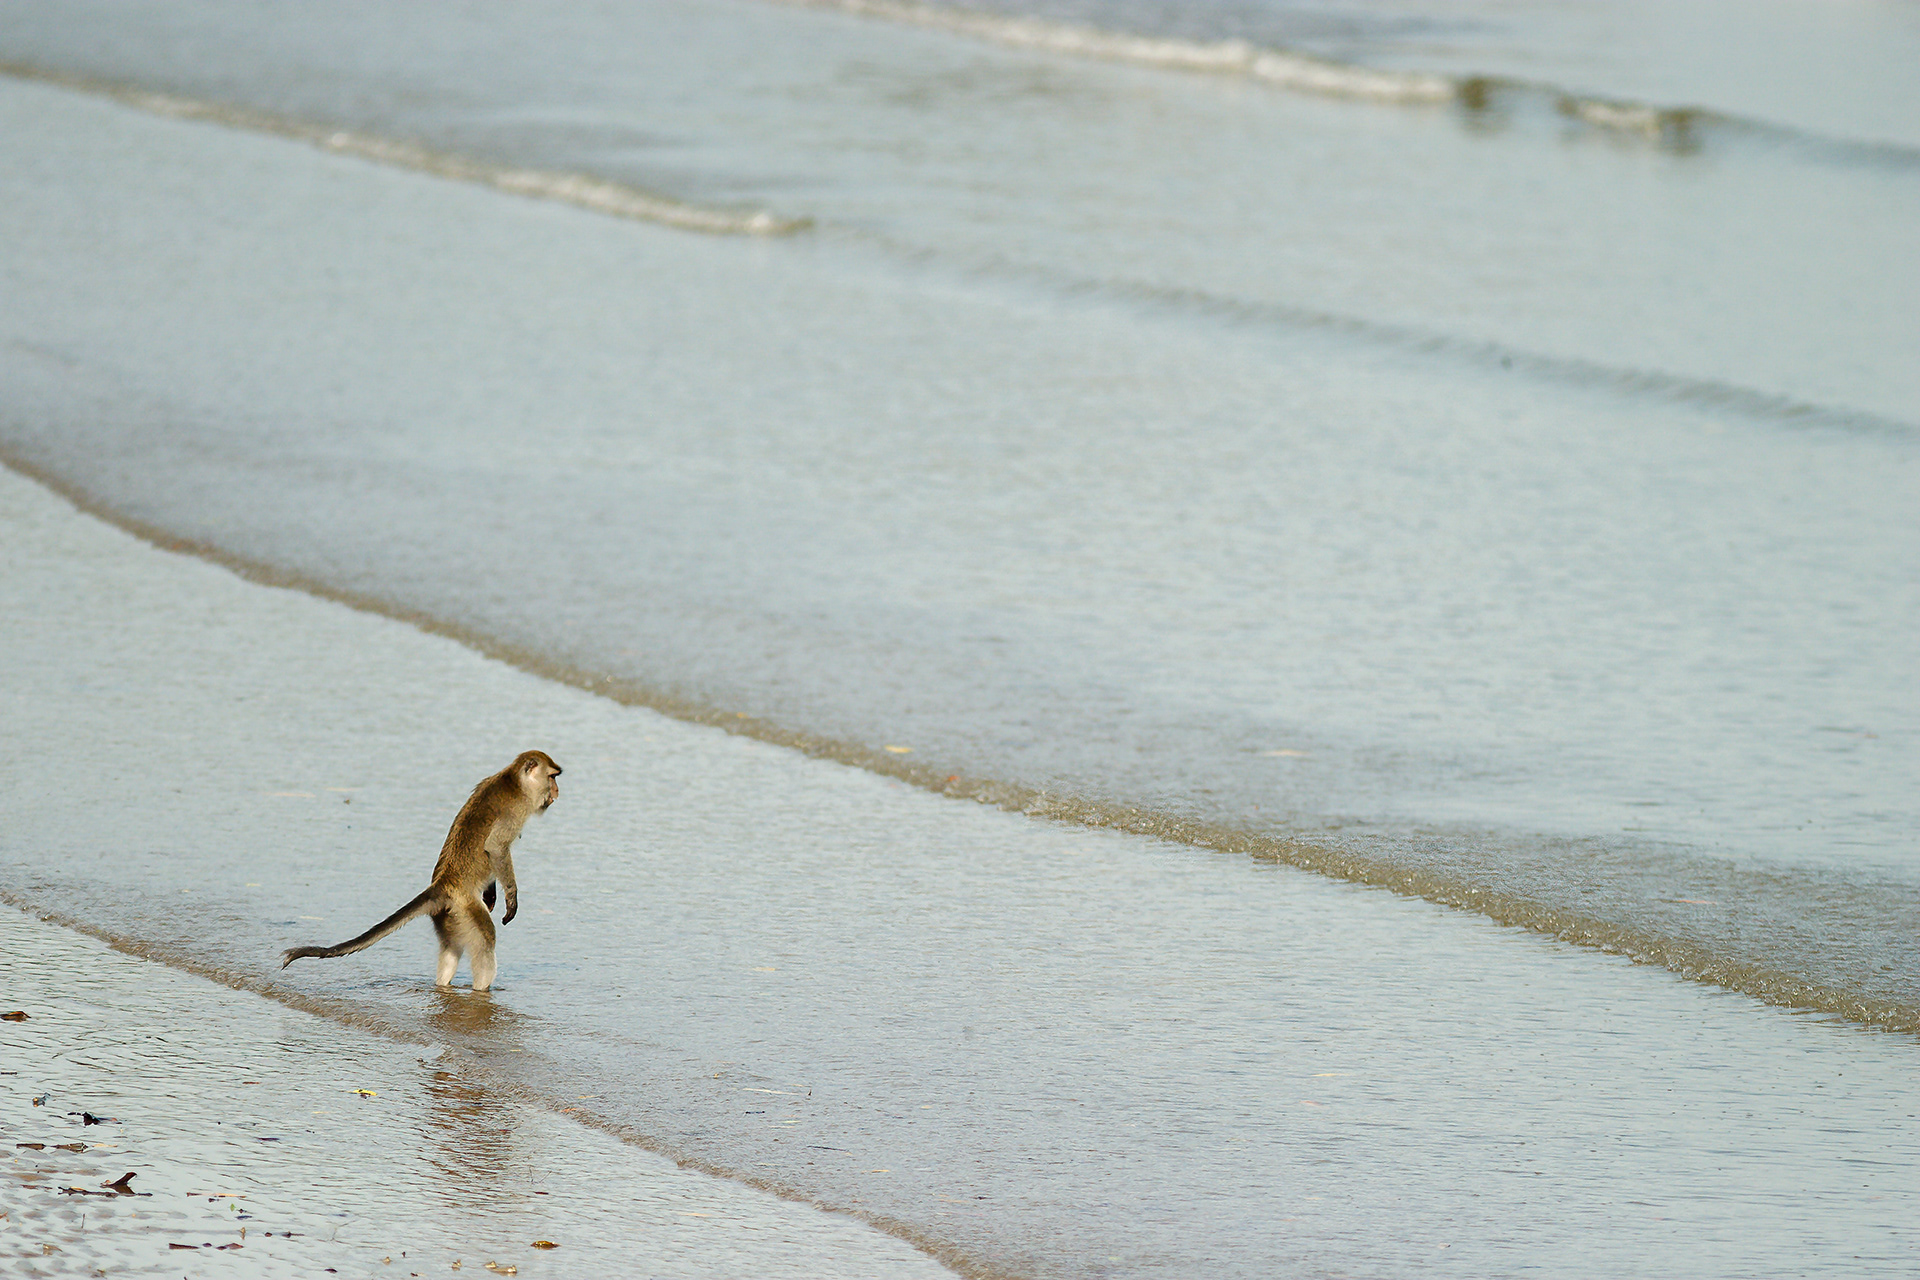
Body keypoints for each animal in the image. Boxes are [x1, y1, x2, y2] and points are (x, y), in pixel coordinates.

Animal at [281, 751, 561, 991]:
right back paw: (482, 989)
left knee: (450, 949)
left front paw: (492, 894)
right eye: (552, 777)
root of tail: (443, 884)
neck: (513, 779)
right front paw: (511, 898)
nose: (557, 792)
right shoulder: (514, 812)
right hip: (465, 909)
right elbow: (495, 848)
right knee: (485, 940)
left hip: (448, 915)